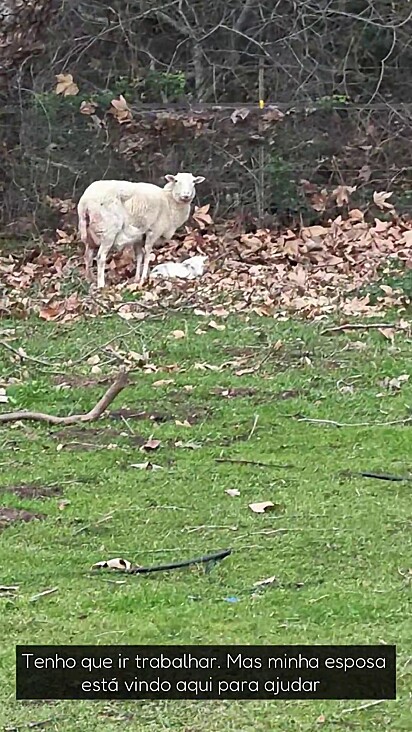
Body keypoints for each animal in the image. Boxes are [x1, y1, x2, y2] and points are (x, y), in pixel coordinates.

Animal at [76, 172, 205, 288]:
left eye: (193, 182)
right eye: (176, 181)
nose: (186, 195)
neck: (169, 202)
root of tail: (84, 202)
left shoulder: (138, 236)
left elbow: (139, 256)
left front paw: (137, 278)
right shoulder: (153, 231)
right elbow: (147, 254)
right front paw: (143, 278)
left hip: (90, 233)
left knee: (88, 256)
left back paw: (90, 279)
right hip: (108, 230)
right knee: (100, 257)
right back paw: (101, 284)